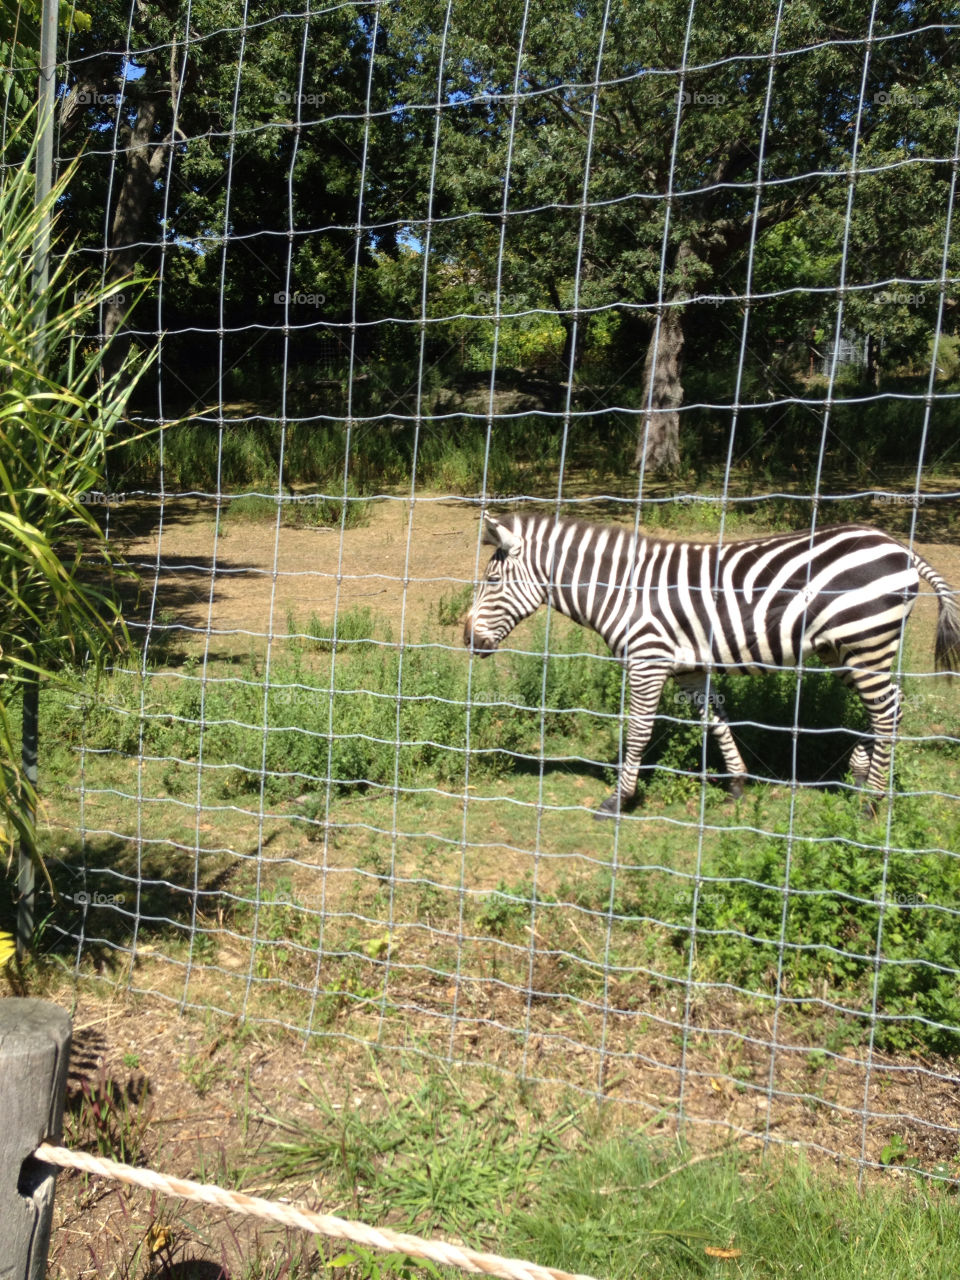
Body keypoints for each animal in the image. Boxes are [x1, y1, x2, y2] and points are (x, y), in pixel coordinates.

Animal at [463, 512, 957, 819]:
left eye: (491, 580)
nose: (468, 640)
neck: (622, 591)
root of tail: (899, 547)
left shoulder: (647, 660)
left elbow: (638, 730)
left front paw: (618, 800)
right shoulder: (689, 669)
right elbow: (714, 719)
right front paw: (737, 782)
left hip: (866, 640)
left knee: (888, 712)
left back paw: (872, 802)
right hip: (846, 650)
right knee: (888, 708)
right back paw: (859, 772)